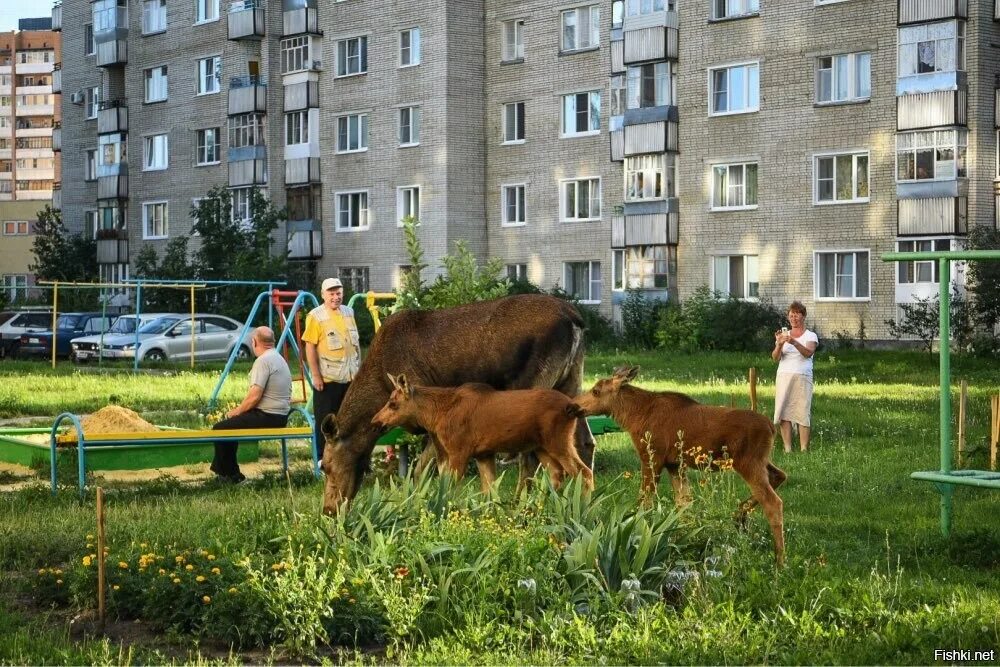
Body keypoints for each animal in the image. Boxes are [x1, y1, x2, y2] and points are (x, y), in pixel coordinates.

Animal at [374, 376, 592, 496]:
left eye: (393, 404)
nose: (375, 421)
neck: (436, 416)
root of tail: (572, 407)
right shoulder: (483, 454)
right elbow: (489, 492)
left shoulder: (459, 451)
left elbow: (451, 489)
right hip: (541, 447)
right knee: (557, 474)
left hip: (559, 442)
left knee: (584, 473)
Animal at [576, 368, 784, 568]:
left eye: (596, 391)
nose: (575, 406)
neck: (634, 416)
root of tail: (772, 428)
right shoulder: (675, 464)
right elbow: (683, 503)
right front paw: (684, 542)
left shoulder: (653, 457)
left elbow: (644, 501)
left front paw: (637, 534)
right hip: (761, 461)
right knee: (780, 476)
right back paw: (740, 514)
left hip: (748, 462)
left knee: (773, 501)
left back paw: (779, 561)